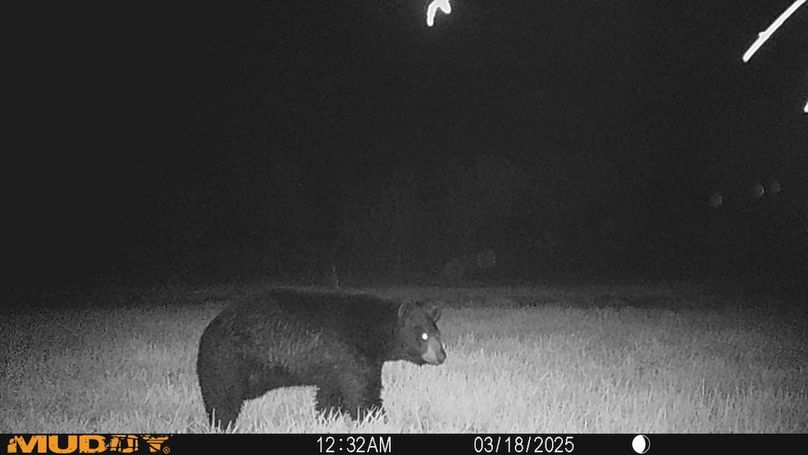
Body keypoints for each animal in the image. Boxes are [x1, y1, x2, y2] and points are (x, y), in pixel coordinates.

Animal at [196, 288, 446, 428]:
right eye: (423, 336)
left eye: (438, 334)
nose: (442, 355)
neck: (372, 330)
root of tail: (209, 329)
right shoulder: (350, 353)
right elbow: (363, 393)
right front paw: (377, 420)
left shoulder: (333, 364)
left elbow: (330, 394)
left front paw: (326, 419)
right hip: (226, 362)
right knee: (222, 398)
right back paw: (223, 424)